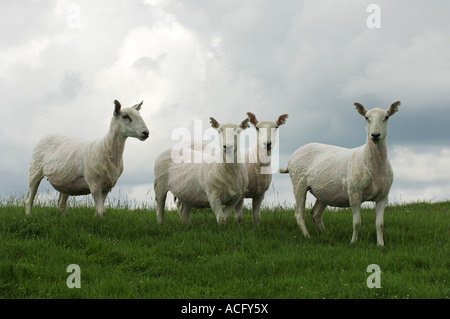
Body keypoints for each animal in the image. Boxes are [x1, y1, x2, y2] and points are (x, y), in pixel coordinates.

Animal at [282, 101, 400, 246]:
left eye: (386, 117)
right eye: (366, 118)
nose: (375, 135)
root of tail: (293, 156)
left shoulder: (383, 196)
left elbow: (380, 224)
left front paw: (381, 245)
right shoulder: (354, 194)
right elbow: (357, 222)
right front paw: (353, 243)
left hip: (325, 192)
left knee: (315, 213)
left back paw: (325, 235)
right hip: (299, 183)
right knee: (299, 214)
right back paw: (307, 236)